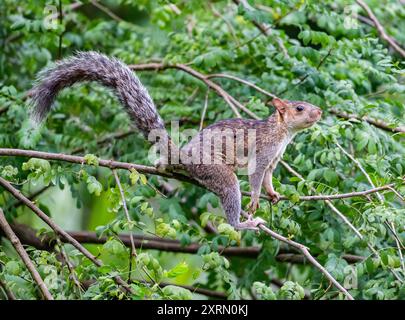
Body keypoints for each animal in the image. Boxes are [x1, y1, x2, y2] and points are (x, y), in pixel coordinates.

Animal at [27, 52, 322, 230]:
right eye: (299, 108)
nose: (319, 112)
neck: (282, 133)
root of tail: (183, 156)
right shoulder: (263, 154)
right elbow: (257, 177)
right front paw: (257, 200)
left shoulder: (274, 160)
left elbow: (269, 178)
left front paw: (273, 194)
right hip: (219, 173)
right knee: (231, 201)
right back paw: (243, 223)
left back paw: (163, 166)